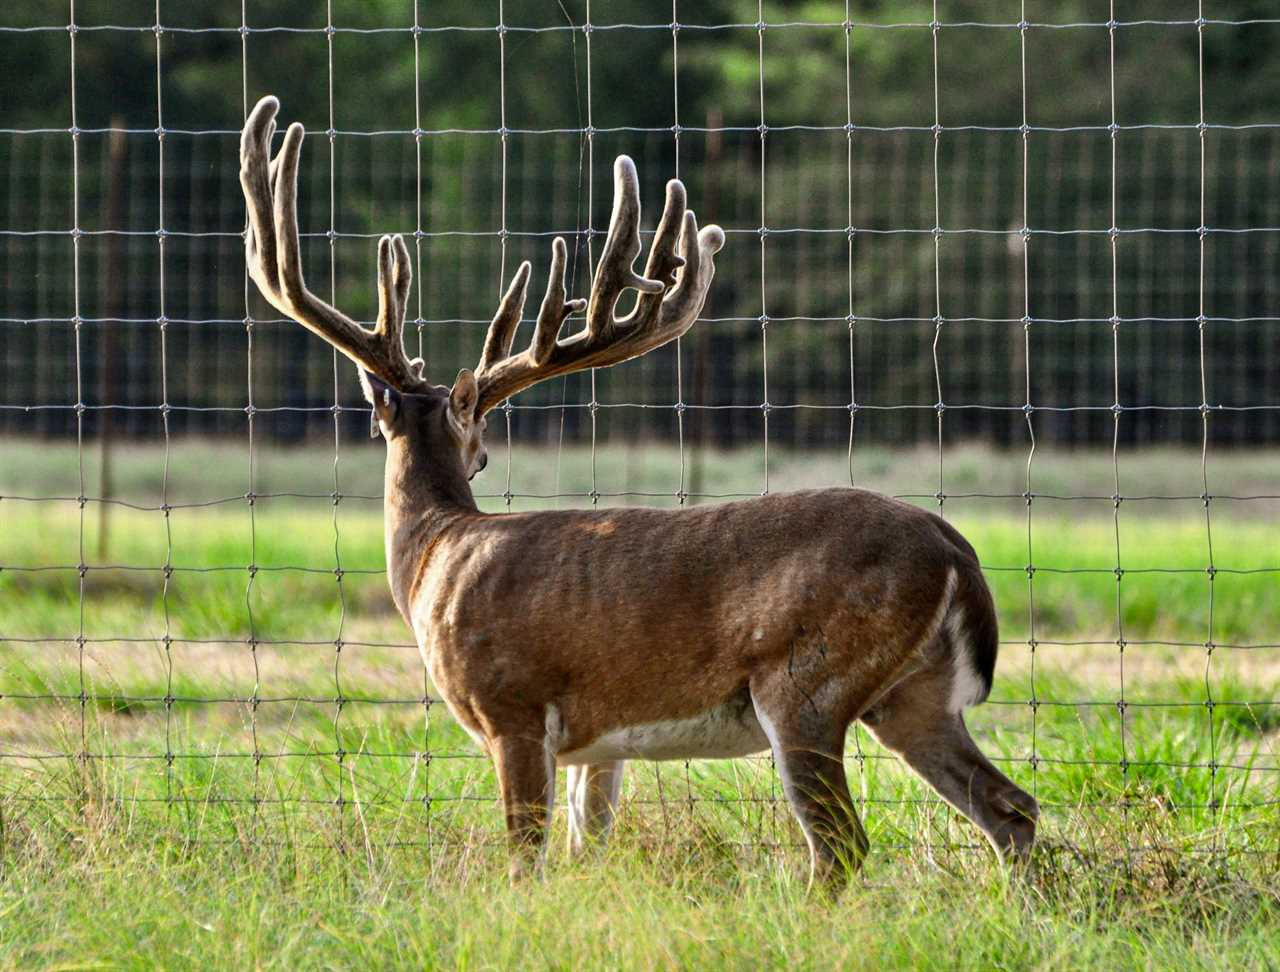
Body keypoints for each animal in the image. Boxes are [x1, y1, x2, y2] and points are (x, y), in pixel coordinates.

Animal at [240, 96, 1039, 891]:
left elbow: (524, 854)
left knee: (842, 841)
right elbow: (584, 843)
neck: (437, 553)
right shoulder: (598, 745)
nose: (481, 455)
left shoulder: (512, 705)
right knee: (1011, 807)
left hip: (807, 683)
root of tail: (955, 552)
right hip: (914, 696)